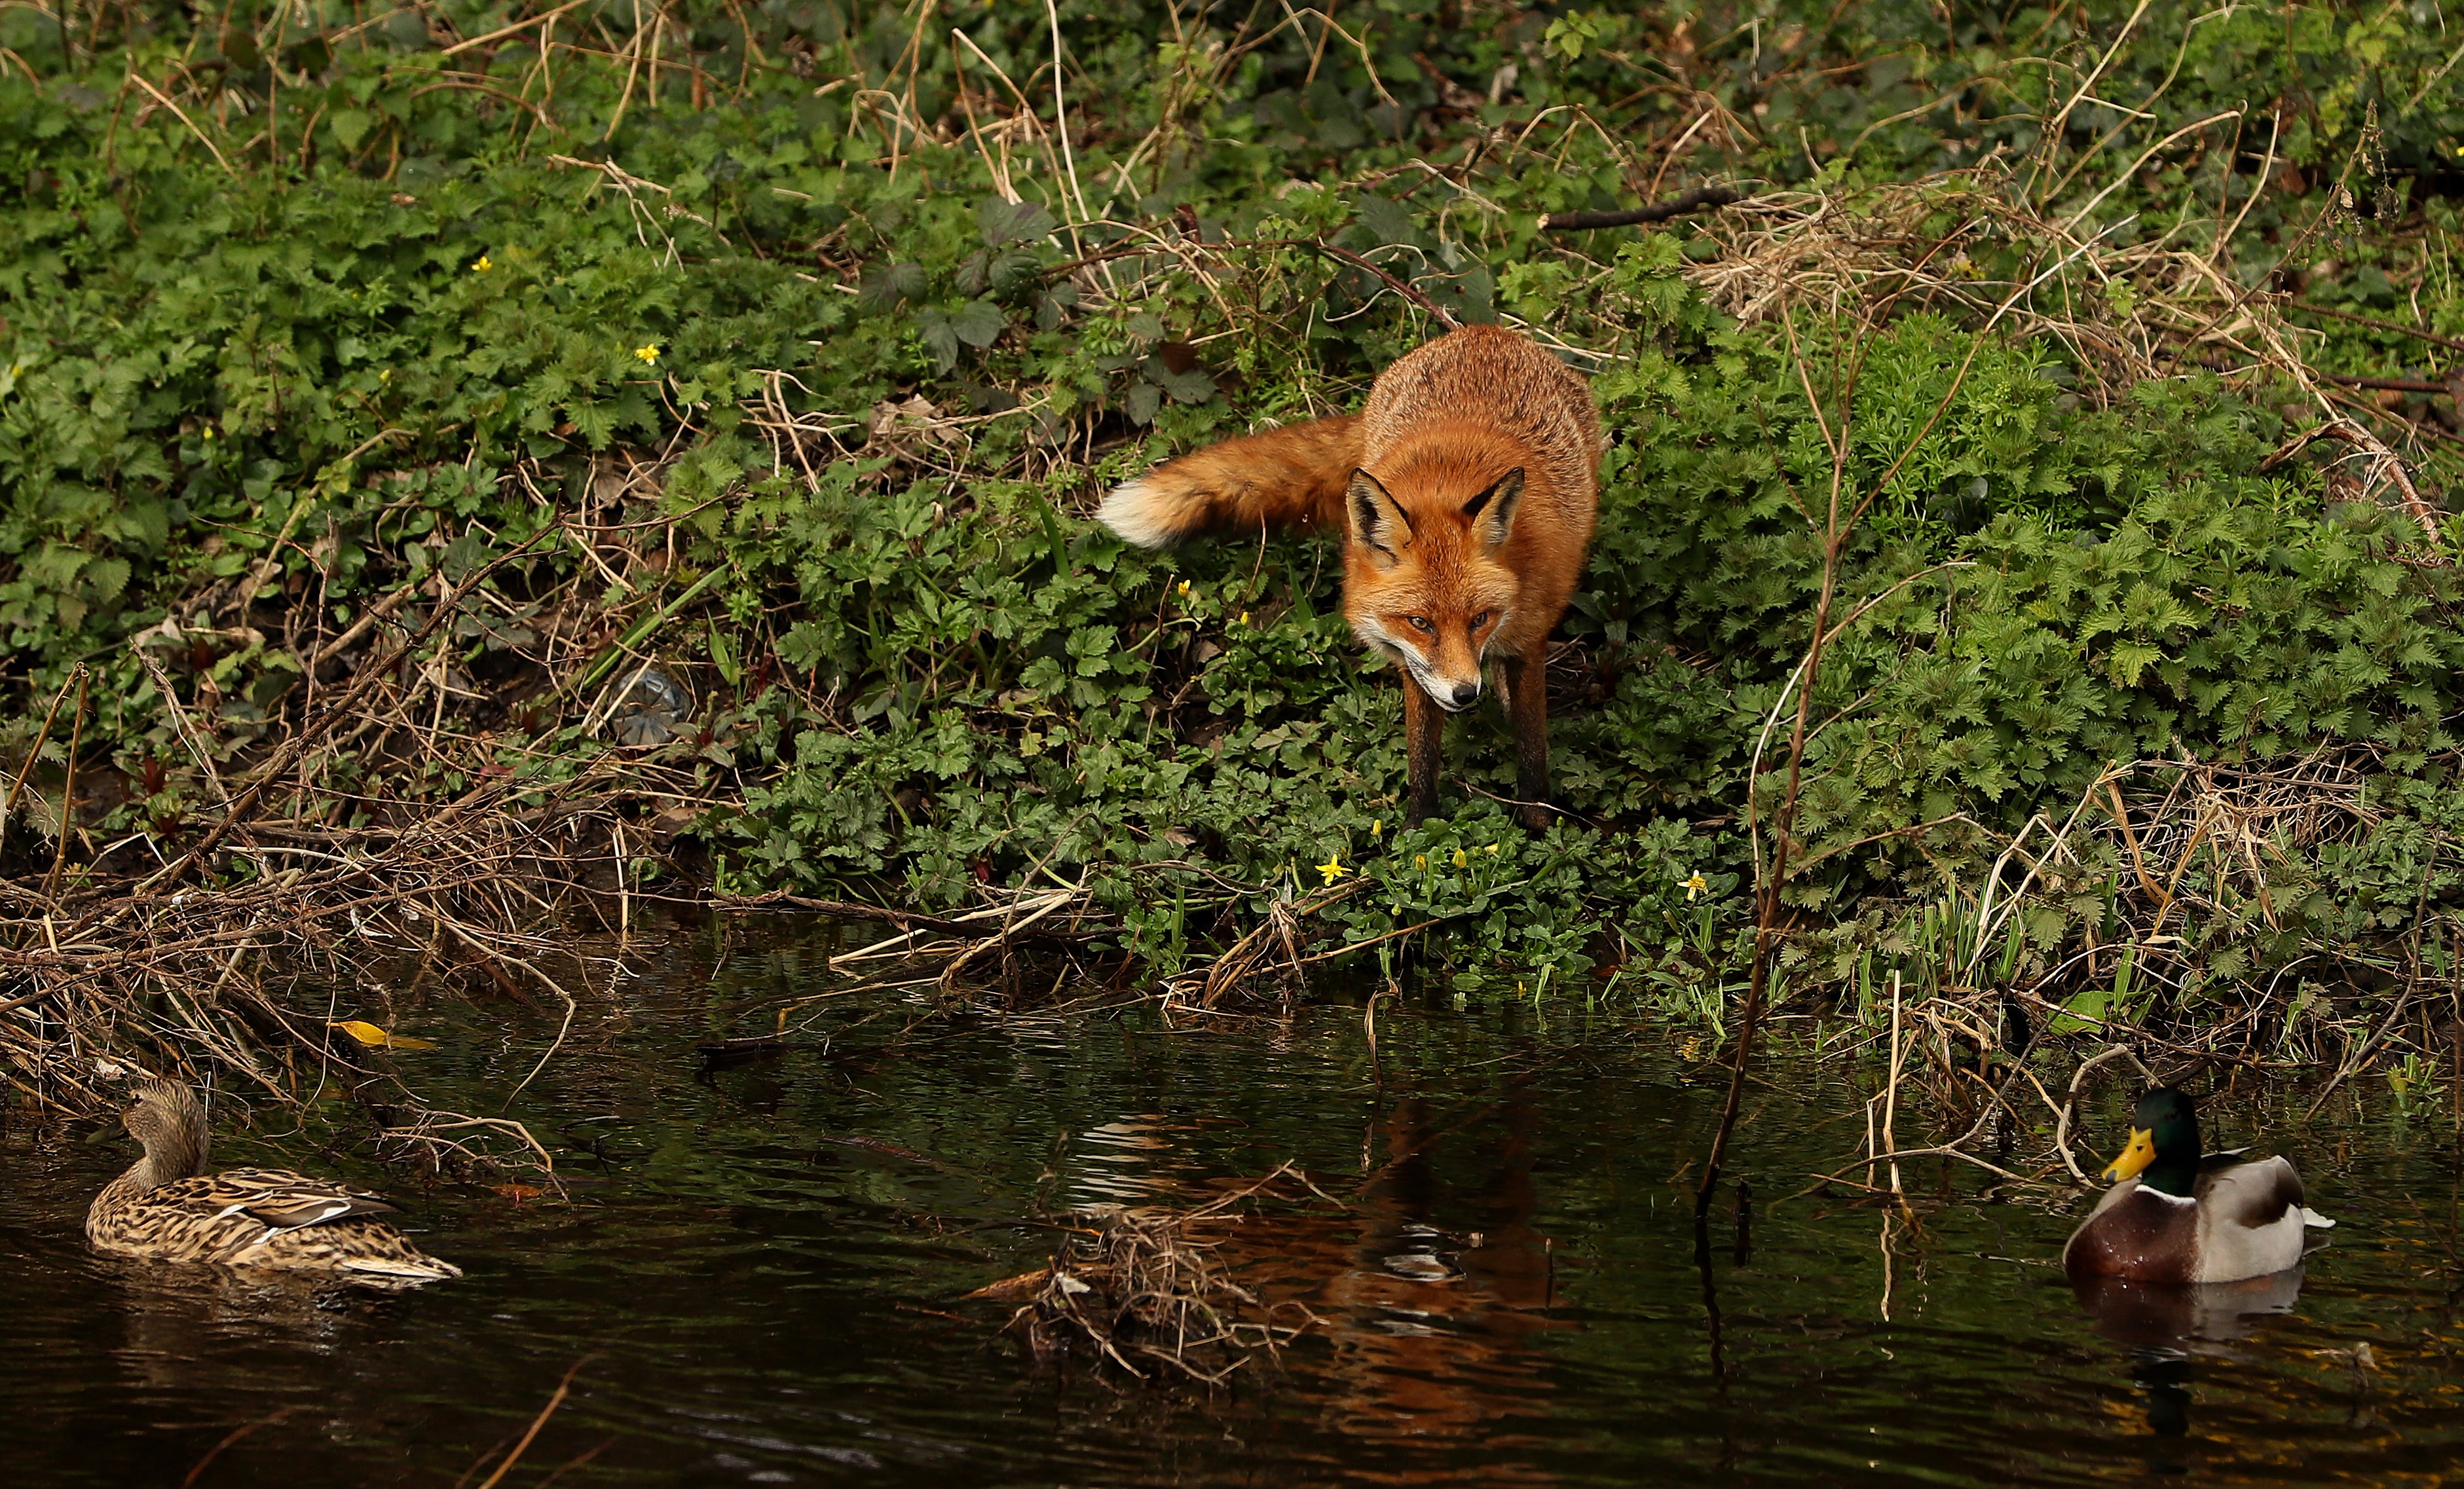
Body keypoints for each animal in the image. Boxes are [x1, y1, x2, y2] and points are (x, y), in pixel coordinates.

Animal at [1094, 325, 1596, 833]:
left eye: (1480, 618)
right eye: (1420, 623)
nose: (1464, 693)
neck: (1445, 480)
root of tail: (1482, 332)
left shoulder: (1527, 642)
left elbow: (1532, 744)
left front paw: (1541, 824)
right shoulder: (1414, 663)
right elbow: (1422, 754)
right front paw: (1418, 829)